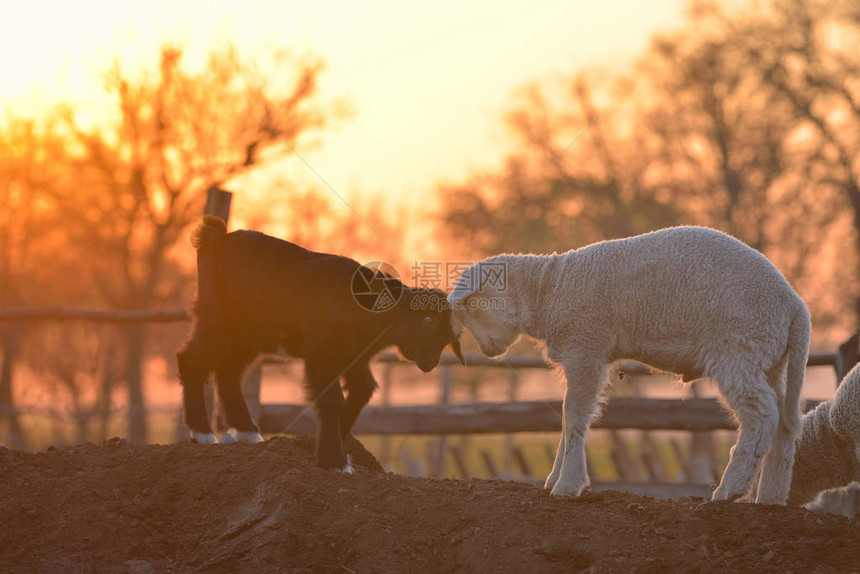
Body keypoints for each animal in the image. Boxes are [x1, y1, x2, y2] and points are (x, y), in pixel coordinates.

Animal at [176, 218, 464, 470]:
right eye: (427, 320)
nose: (431, 362)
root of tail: (217, 238)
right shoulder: (321, 354)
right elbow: (332, 399)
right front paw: (334, 460)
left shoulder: (354, 356)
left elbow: (363, 389)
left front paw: (323, 444)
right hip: (217, 321)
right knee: (191, 360)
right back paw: (202, 434)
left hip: (248, 336)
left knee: (229, 372)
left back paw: (248, 432)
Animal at [450, 227, 812, 506]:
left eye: (471, 306)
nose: (488, 351)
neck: (548, 289)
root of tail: (795, 306)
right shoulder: (581, 352)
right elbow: (566, 419)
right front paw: (553, 479)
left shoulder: (586, 346)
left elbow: (574, 416)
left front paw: (567, 485)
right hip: (769, 359)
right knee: (785, 421)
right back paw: (770, 498)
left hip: (739, 347)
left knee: (762, 414)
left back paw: (729, 490)